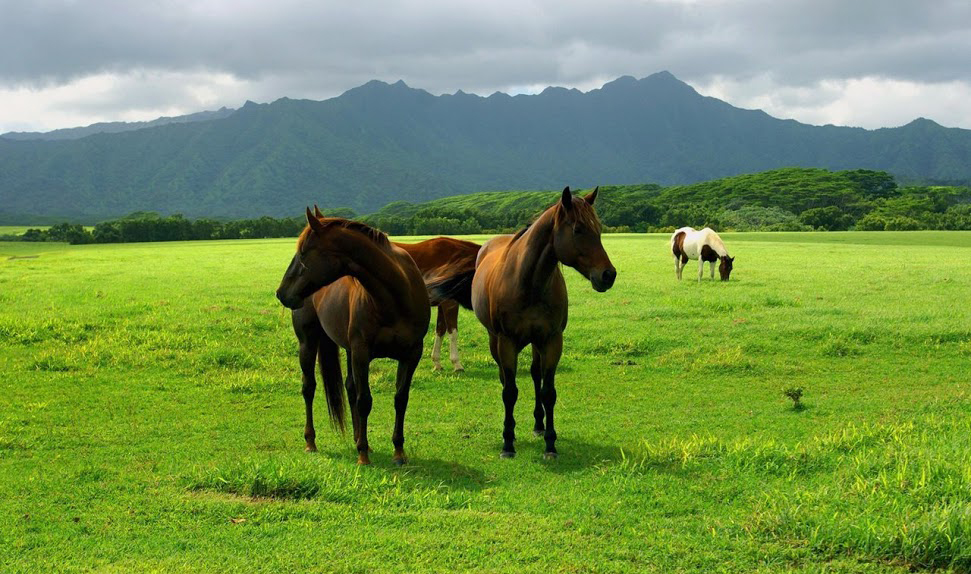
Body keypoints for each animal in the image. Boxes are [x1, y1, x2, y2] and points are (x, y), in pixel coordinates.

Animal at [272, 209, 428, 466]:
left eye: (303, 253)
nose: (281, 293)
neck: (395, 296)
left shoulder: (412, 354)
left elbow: (400, 399)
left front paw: (398, 451)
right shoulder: (361, 352)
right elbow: (365, 401)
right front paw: (363, 455)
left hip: (347, 350)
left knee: (350, 388)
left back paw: (357, 439)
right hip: (308, 343)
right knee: (309, 388)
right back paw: (311, 441)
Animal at [394, 237, 482, 374]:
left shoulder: (442, 304)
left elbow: (440, 330)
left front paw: (437, 363)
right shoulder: (450, 303)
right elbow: (453, 332)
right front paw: (457, 364)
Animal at [428, 187, 612, 462]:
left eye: (598, 228)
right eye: (578, 229)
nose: (608, 275)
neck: (529, 283)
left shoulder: (551, 340)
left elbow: (548, 391)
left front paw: (550, 443)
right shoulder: (507, 342)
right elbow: (510, 391)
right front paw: (507, 442)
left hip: (536, 343)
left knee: (536, 376)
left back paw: (538, 425)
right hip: (495, 340)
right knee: (505, 379)